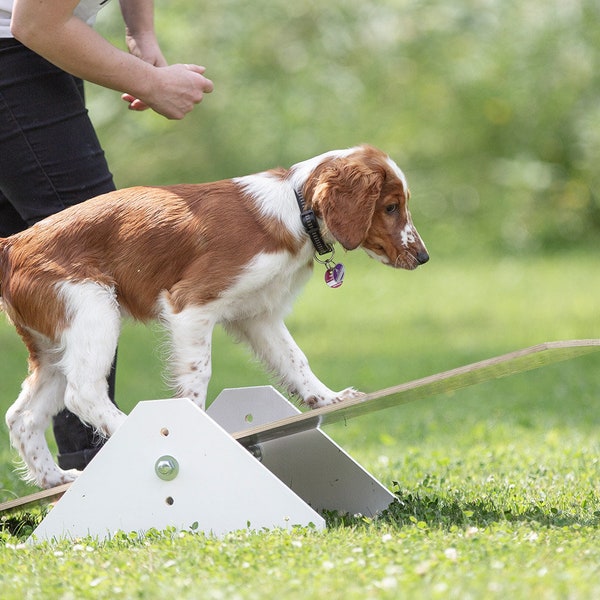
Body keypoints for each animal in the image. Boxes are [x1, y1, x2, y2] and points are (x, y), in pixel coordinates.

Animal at [2, 145, 428, 488]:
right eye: (391, 207)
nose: (424, 257)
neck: (296, 211)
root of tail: (13, 244)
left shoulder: (259, 316)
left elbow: (295, 359)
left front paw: (328, 398)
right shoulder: (190, 304)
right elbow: (198, 376)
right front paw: (191, 428)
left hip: (55, 345)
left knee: (22, 416)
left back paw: (52, 478)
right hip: (93, 311)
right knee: (82, 392)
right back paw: (127, 433)